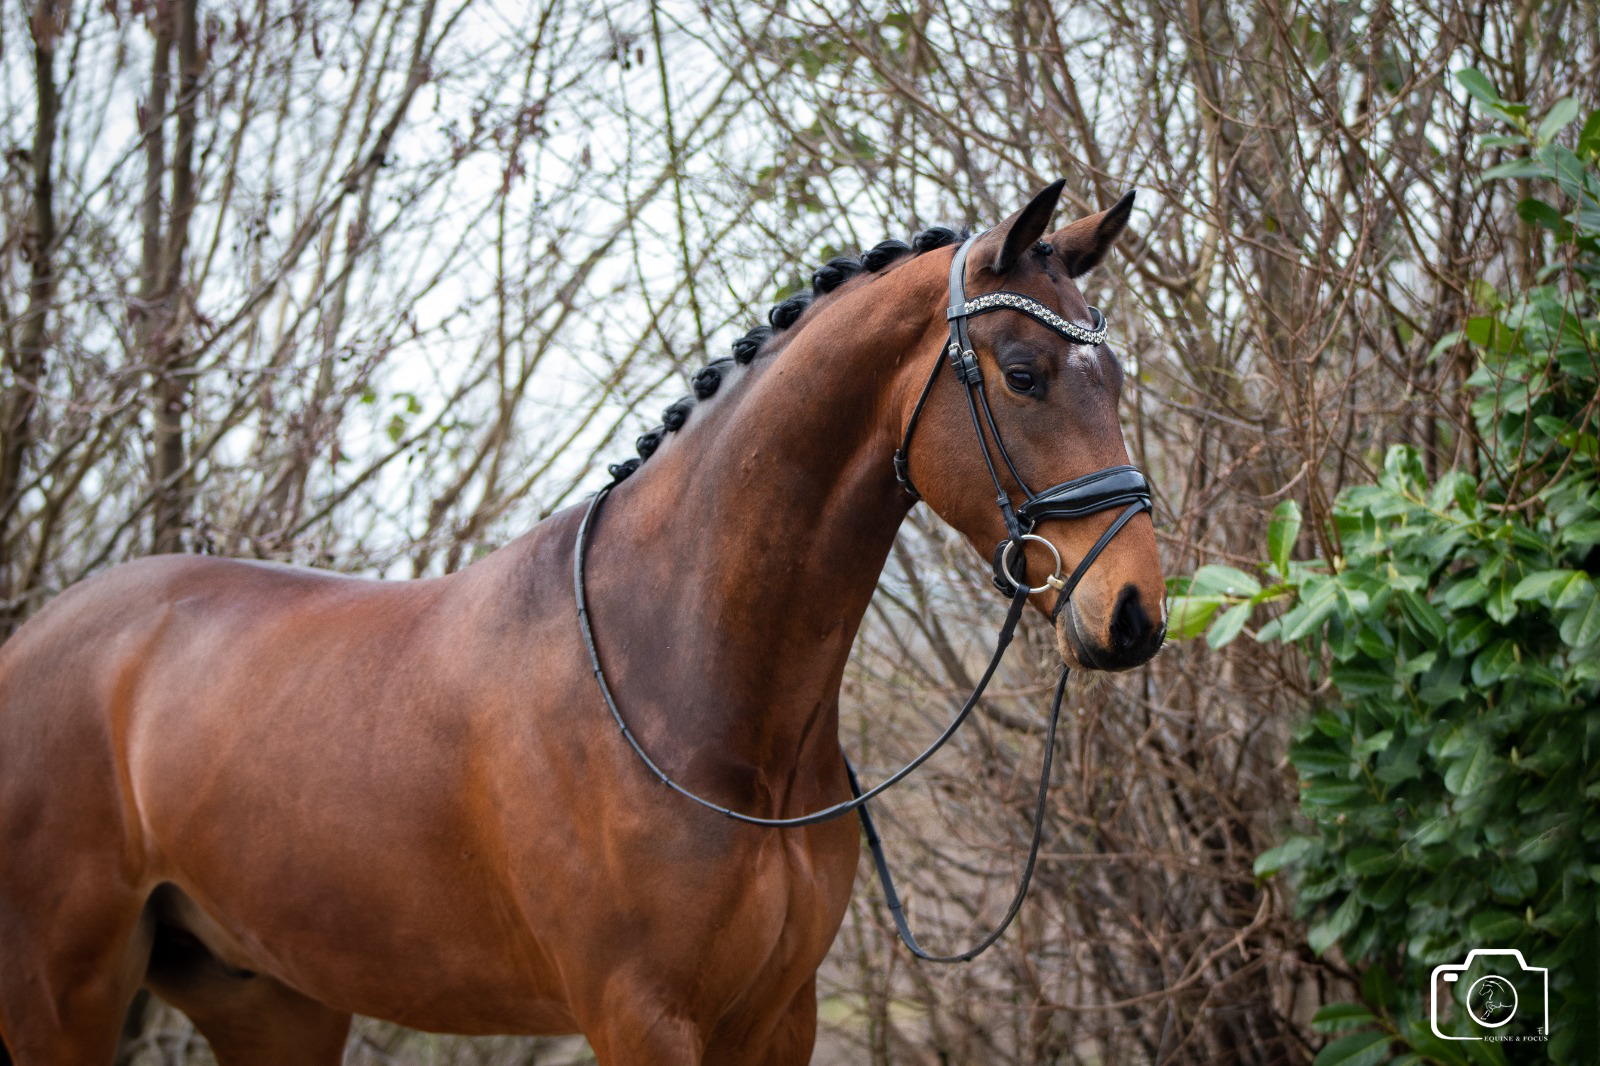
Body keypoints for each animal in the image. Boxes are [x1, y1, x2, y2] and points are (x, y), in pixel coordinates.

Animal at [0, 180, 1165, 1065]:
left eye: (1114, 376)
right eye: (1023, 376)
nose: (1134, 612)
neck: (684, 684)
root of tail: (36, 642)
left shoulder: (775, 1018)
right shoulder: (641, 1018)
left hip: (268, 996)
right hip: (63, 998)